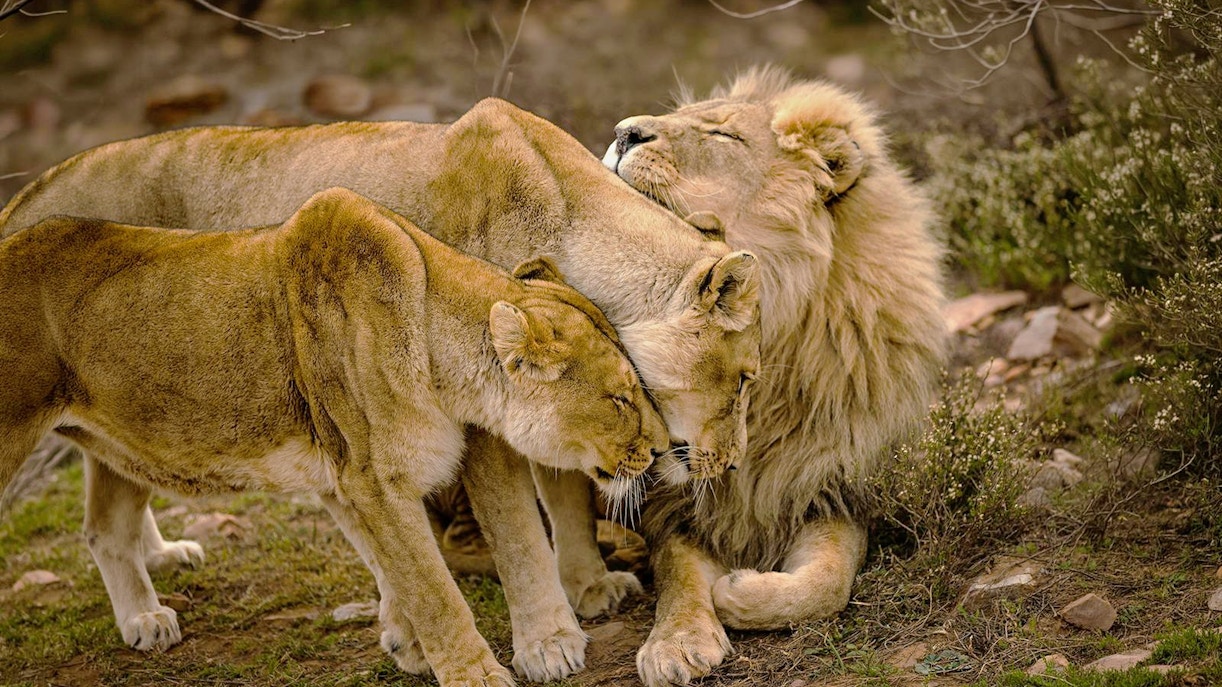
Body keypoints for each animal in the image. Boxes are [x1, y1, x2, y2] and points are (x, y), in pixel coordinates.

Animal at [0, 98, 763, 673]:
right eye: (744, 381)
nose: (731, 466)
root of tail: (24, 199)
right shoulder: (484, 413)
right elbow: (521, 525)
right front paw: (548, 640)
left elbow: (564, 488)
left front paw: (587, 586)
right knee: (105, 520)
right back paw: (147, 613)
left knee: (113, 500)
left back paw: (160, 562)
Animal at [600, 66, 947, 686]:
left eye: (724, 135)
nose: (622, 133)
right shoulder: (679, 504)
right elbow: (677, 571)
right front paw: (677, 641)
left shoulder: (831, 488)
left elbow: (827, 582)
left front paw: (739, 592)